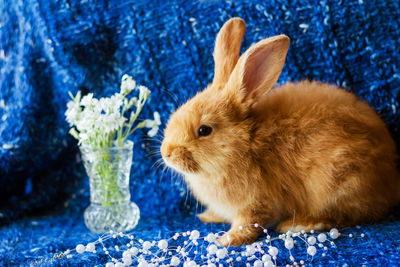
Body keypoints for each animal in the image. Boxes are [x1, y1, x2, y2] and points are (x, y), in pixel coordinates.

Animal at [159, 17, 400, 247]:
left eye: (204, 130)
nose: (166, 153)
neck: (244, 144)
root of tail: (391, 180)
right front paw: (208, 217)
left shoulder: (257, 203)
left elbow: (247, 224)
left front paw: (226, 240)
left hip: (339, 181)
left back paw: (299, 224)